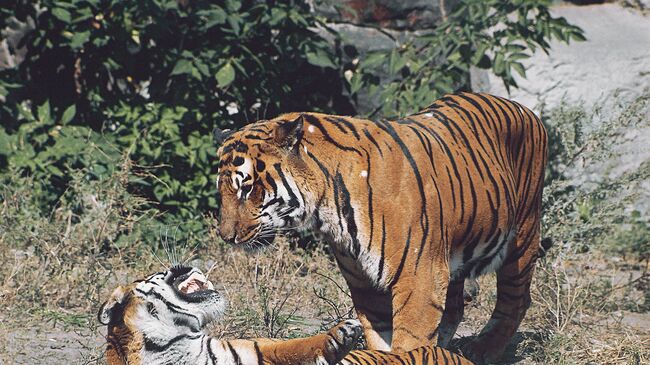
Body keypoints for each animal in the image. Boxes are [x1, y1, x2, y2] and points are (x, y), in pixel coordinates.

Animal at [97, 264, 470, 364]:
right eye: (158, 271)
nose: (183, 264)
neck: (176, 340)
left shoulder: (253, 351)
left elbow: (293, 346)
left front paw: (340, 336)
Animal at [215, 92, 544, 362]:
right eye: (222, 189)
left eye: (246, 188)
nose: (226, 237)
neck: (329, 207)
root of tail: (524, 108)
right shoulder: (364, 282)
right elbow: (380, 337)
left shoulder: (419, 278)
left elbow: (410, 342)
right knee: (455, 307)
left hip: (523, 235)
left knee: (516, 300)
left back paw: (483, 349)